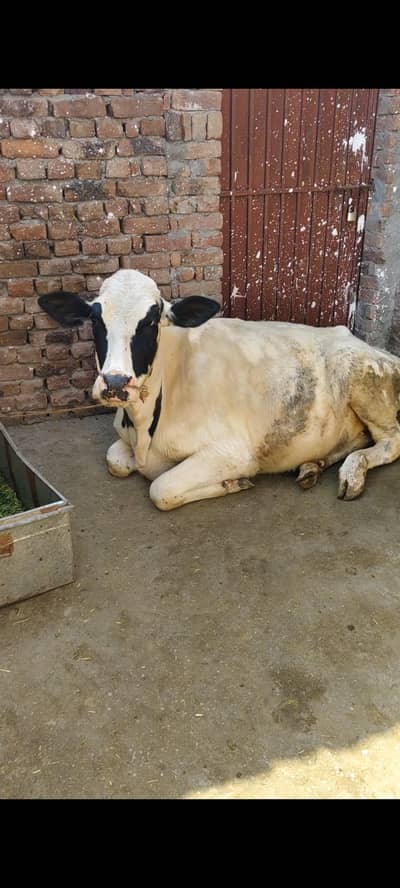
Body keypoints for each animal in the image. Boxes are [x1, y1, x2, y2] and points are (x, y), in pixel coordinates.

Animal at [38, 269, 400, 511]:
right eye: (96, 320)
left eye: (151, 322)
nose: (115, 382)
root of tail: (353, 337)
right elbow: (115, 460)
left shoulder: (233, 451)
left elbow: (161, 489)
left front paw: (233, 482)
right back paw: (312, 466)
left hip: (365, 383)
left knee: (389, 442)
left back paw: (352, 474)